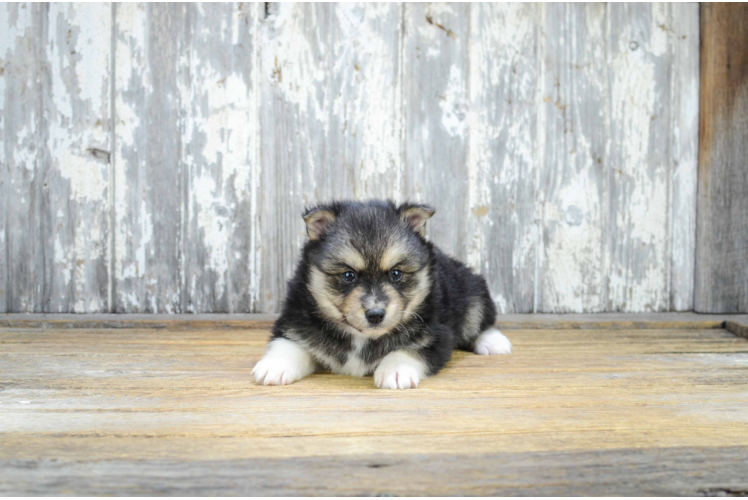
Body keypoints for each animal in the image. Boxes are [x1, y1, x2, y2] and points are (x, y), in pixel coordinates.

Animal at [254, 200, 512, 390]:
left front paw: (395, 370)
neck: (361, 337)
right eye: (348, 275)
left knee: (479, 321)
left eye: (396, 273)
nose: (376, 314)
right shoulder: (293, 322)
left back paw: (493, 341)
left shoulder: (437, 335)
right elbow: (290, 343)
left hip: (472, 290)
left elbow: (410, 349)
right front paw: (275, 365)